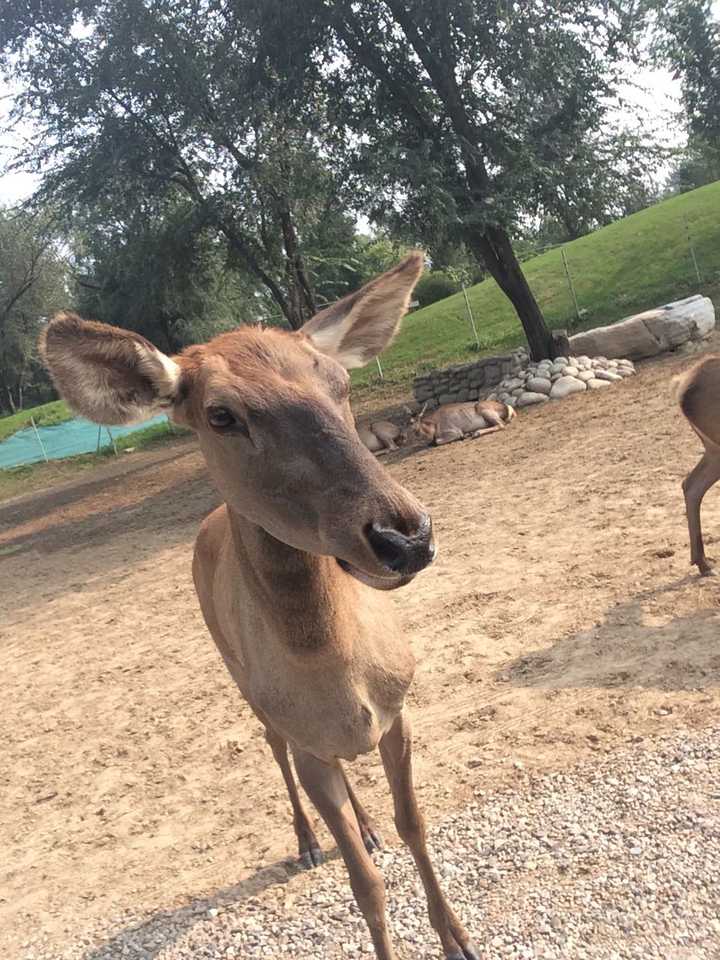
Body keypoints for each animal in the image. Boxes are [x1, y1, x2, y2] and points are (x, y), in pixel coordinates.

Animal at [39, 253, 478, 960]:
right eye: (221, 415)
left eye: (340, 382)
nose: (403, 535)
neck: (338, 671)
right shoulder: (298, 729)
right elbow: (364, 884)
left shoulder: (400, 706)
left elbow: (414, 824)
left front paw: (456, 936)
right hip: (240, 677)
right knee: (274, 749)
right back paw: (306, 842)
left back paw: (365, 824)